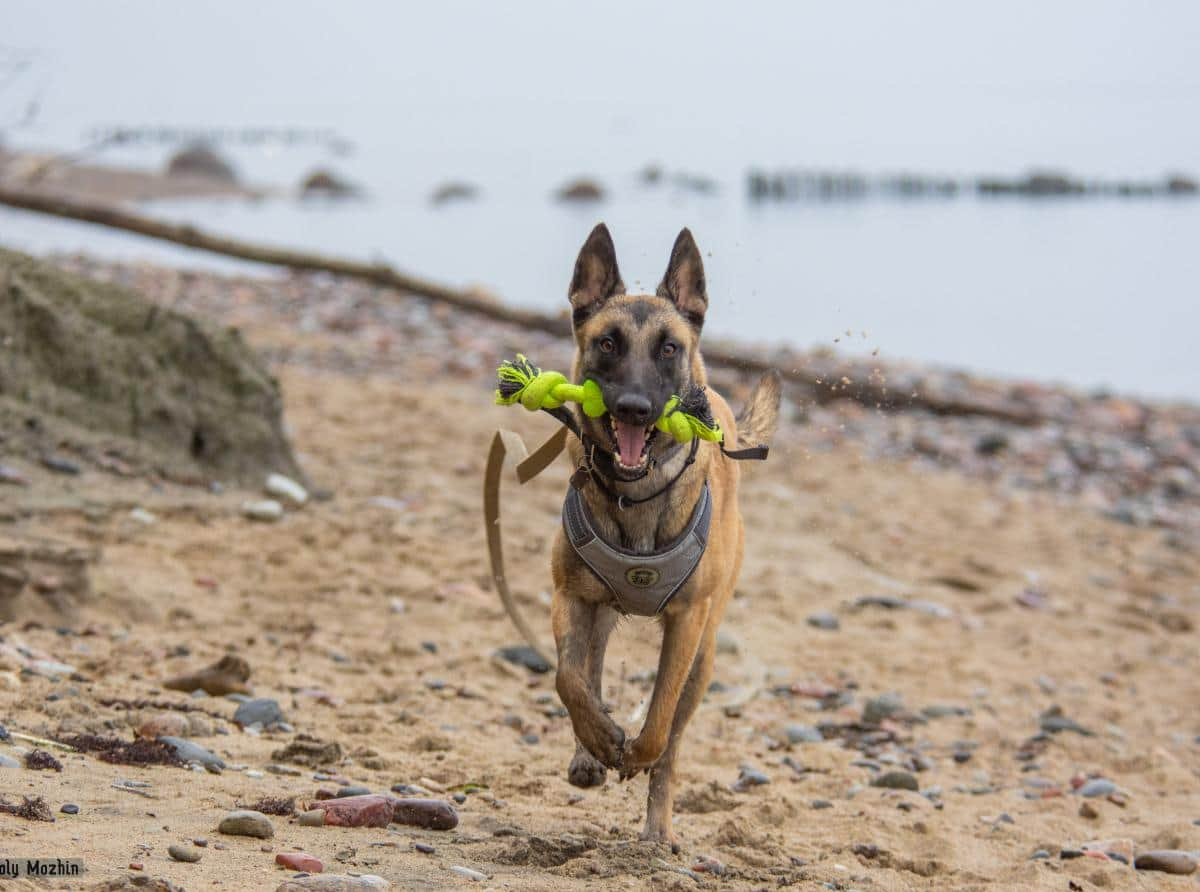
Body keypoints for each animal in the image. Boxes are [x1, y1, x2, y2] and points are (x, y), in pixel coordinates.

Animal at [549, 223, 782, 849]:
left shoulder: (686, 624)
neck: (636, 494)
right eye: (607, 344)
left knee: (674, 739)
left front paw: (632, 753)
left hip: (706, 653)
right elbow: (569, 680)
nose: (634, 408)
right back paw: (589, 751)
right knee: (590, 669)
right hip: (599, 613)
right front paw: (599, 740)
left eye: (669, 348)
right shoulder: (570, 596)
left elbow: (658, 719)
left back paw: (658, 829)